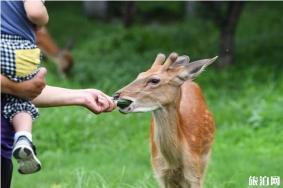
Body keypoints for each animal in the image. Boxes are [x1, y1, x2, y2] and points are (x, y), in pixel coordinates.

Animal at [114, 52, 219, 187]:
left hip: (205, 160)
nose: (116, 95)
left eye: (154, 80)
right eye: (140, 75)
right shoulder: (160, 173)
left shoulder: (195, 173)